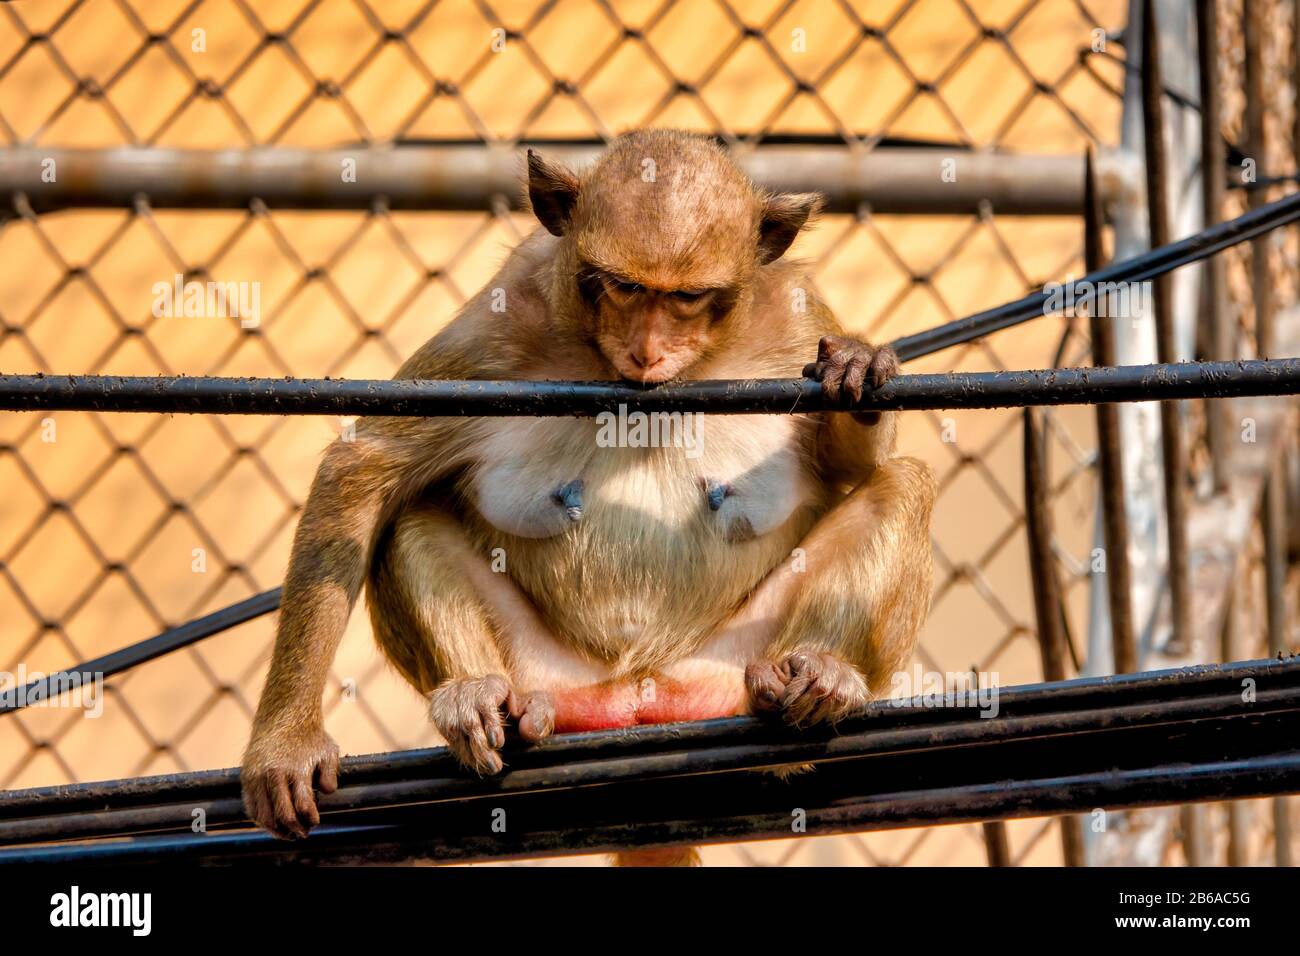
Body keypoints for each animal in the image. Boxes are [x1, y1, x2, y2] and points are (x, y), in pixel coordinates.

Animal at [240, 130, 936, 863]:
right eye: (625, 287)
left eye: (688, 297)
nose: (648, 351)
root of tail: (638, 702)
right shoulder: (495, 326)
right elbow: (365, 469)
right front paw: (284, 746)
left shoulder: (798, 316)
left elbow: (857, 466)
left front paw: (856, 365)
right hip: (555, 680)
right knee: (410, 517)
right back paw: (479, 698)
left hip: (726, 674)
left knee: (903, 484)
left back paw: (819, 678)